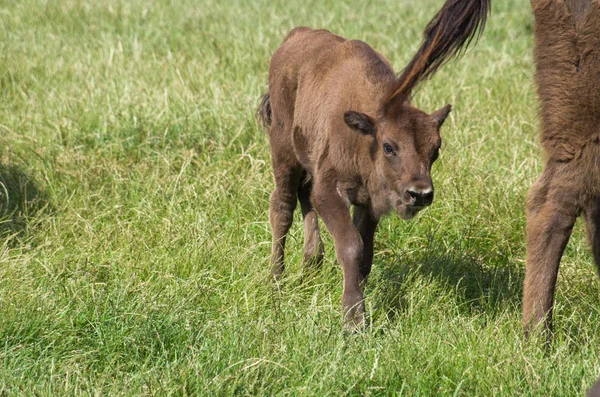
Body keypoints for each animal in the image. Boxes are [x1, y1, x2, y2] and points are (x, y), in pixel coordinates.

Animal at [256, 0, 488, 324]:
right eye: (389, 147)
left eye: (436, 150)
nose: (419, 194)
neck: (366, 137)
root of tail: (294, 38)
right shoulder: (331, 190)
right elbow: (351, 245)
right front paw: (354, 320)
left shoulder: (368, 203)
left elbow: (365, 254)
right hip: (283, 152)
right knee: (282, 207)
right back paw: (276, 280)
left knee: (303, 198)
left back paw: (311, 265)